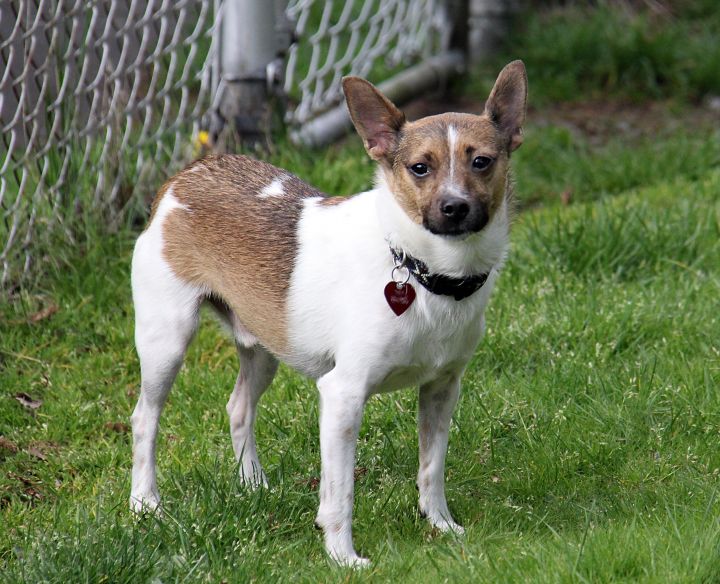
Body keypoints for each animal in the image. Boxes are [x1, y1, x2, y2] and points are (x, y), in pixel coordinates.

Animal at [129, 60, 524, 564]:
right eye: (420, 168)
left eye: (482, 162)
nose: (455, 206)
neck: (424, 273)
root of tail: (185, 176)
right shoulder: (342, 396)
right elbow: (341, 492)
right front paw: (342, 556)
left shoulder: (441, 389)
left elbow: (432, 468)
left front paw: (440, 524)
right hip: (167, 341)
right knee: (145, 418)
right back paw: (145, 503)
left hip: (265, 346)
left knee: (238, 407)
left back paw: (253, 484)